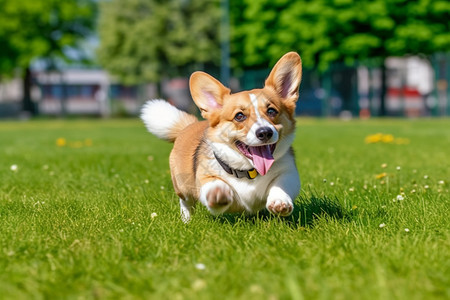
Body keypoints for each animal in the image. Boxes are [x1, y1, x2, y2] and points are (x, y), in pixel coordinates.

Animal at [142, 51, 302, 221]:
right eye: (239, 116)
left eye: (272, 111)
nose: (265, 132)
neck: (249, 171)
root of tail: (188, 125)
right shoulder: (204, 179)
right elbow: (214, 185)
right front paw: (218, 193)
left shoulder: (289, 172)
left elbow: (280, 184)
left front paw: (279, 201)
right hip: (182, 186)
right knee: (185, 202)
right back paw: (186, 221)